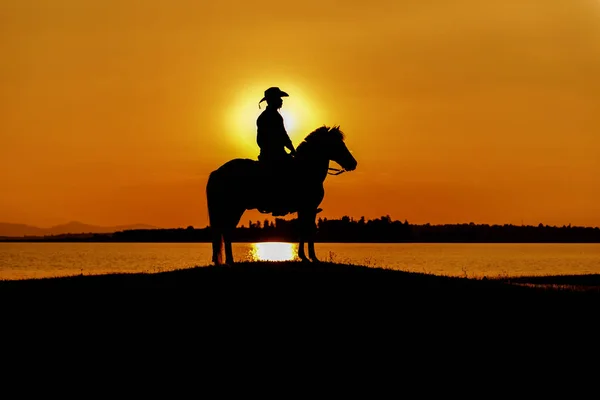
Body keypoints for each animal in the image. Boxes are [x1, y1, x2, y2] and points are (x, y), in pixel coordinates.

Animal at [206, 125, 356, 266]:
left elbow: (303, 230)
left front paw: (305, 256)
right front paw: (311, 258)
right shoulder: (309, 208)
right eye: (338, 144)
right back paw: (230, 261)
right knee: (227, 231)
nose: (353, 163)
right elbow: (308, 230)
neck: (306, 169)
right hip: (235, 208)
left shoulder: (305, 209)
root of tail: (217, 172)